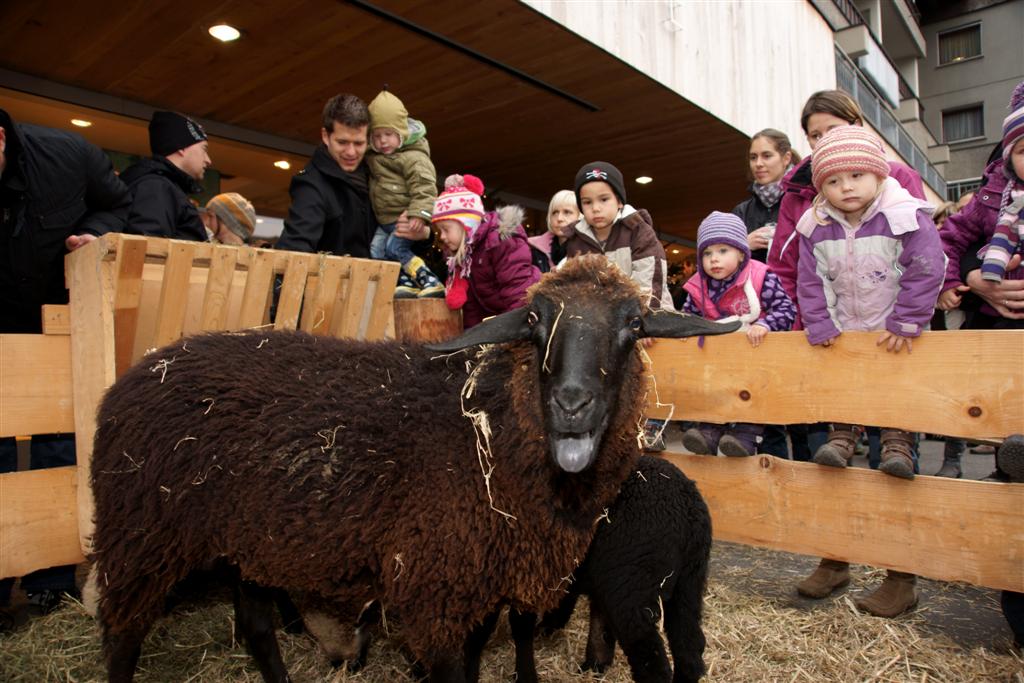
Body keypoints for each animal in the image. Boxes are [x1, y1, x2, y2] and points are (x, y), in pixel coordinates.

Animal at [89, 254, 738, 682]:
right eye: (534, 321)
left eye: (634, 325)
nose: (571, 403)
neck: (493, 429)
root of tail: (134, 375)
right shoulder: (435, 586)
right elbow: (453, 674)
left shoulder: (479, 579)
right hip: (142, 533)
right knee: (122, 633)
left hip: (247, 540)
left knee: (254, 627)